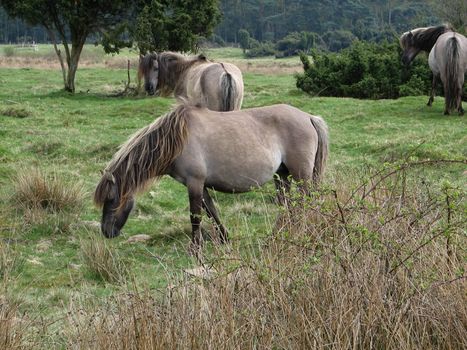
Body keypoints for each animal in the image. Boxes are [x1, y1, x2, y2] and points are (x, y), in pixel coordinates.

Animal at [94, 102, 330, 253]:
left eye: (112, 199)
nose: (106, 231)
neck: (178, 139)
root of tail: (309, 117)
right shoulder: (201, 185)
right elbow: (212, 211)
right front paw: (225, 238)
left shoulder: (195, 183)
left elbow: (196, 216)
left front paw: (195, 249)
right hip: (282, 176)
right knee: (287, 206)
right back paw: (277, 236)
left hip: (301, 175)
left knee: (305, 203)